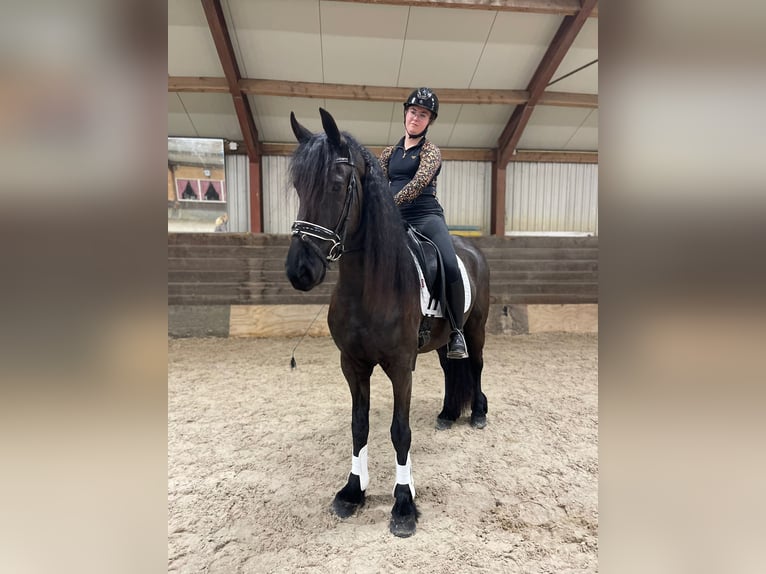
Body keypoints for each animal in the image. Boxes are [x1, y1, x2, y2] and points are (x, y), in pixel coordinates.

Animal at [285, 108, 490, 537]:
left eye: (337, 184)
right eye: (298, 185)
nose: (300, 271)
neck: (370, 285)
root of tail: (470, 248)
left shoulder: (399, 366)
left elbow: (400, 431)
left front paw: (403, 504)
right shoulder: (353, 365)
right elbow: (359, 426)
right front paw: (353, 491)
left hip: (476, 329)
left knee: (476, 365)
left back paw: (478, 414)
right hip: (445, 340)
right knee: (452, 367)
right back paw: (448, 414)